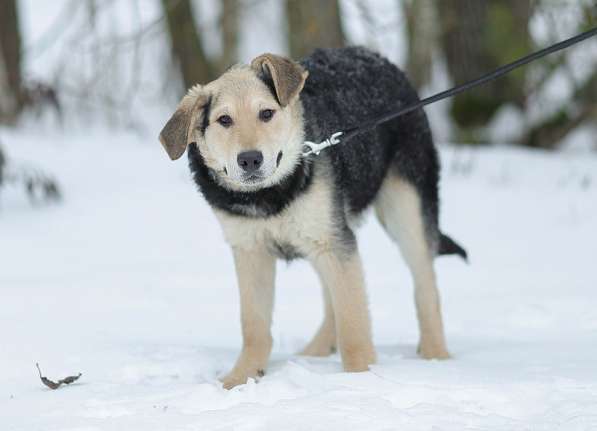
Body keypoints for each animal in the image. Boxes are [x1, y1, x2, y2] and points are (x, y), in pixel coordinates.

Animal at [158, 47, 466, 392]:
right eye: (224, 120)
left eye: (266, 113)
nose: (250, 159)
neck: (268, 196)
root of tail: (374, 55)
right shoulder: (251, 250)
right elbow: (254, 324)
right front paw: (241, 379)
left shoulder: (333, 242)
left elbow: (353, 323)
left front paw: (361, 380)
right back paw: (317, 351)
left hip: (404, 210)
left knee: (425, 284)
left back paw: (435, 355)